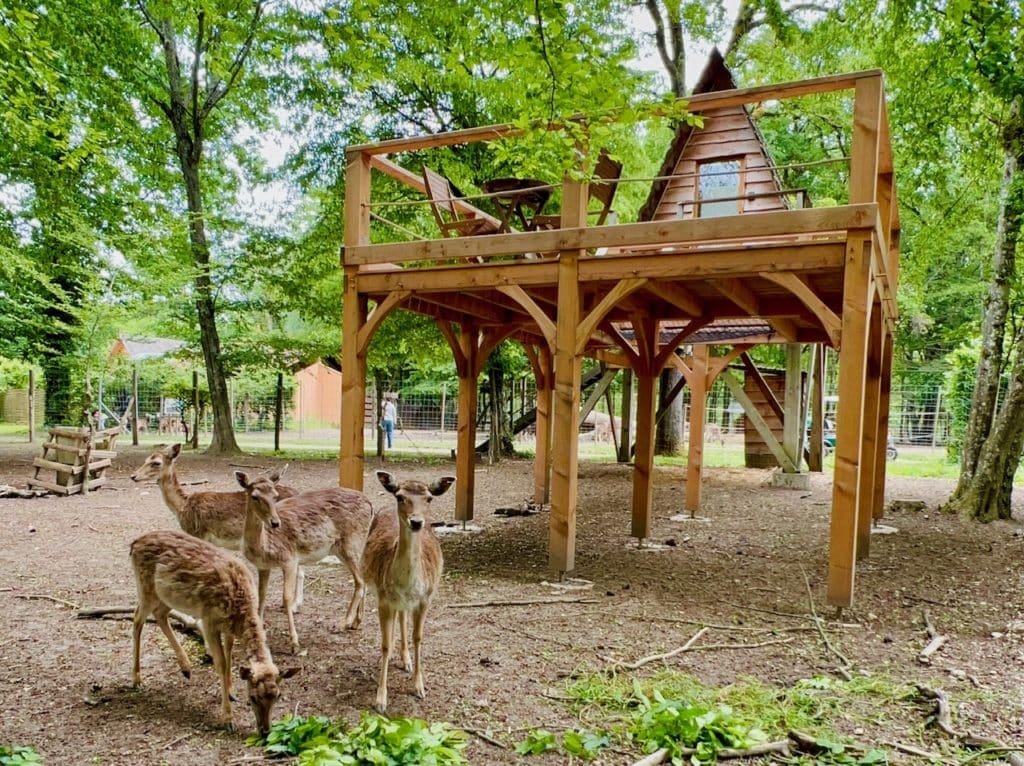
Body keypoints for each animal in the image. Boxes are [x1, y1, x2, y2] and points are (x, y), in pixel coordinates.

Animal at [126, 446, 307, 606]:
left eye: (156, 462)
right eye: (146, 459)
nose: (133, 476)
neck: (182, 506)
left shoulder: (198, 533)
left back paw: (295, 604)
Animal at [128, 528, 296, 733]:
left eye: (278, 696)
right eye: (253, 697)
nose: (265, 731)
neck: (240, 609)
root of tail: (134, 544)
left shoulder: (228, 627)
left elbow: (230, 652)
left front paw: (231, 691)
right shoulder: (209, 621)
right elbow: (221, 663)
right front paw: (228, 719)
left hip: (167, 596)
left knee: (160, 614)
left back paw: (186, 668)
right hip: (146, 588)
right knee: (137, 618)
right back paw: (137, 680)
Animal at [234, 473, 374, 651]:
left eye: (275, 496)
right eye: (255, 496)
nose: (275, 522)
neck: (264, 547)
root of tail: (371, 505)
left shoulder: (290, 559)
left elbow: (287, 597)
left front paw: (294, 642)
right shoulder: (263, 566)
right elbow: (262, 595)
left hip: (350, 544)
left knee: (360, 581)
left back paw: (343, 623)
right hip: (352, 546)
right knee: (363, 579)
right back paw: (356, 622)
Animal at [364, 469, 452, 716]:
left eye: (429, 498)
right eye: (400, 497)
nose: (416, 522)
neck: (406, 584)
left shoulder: (425, 599)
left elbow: (418, 638)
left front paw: (419, 687)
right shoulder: (383, 599)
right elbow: (385, 644)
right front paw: (380, 700)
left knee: (403, 618)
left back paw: (406, 660)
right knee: (397, 620)